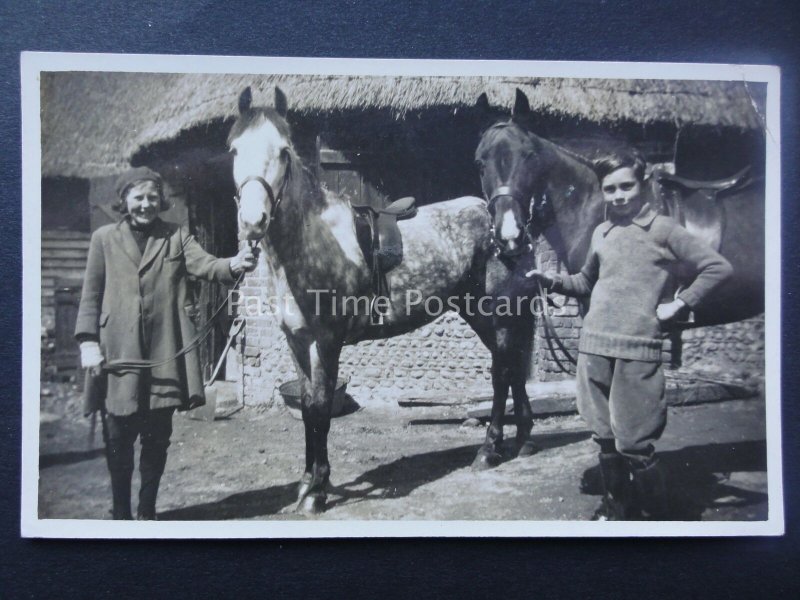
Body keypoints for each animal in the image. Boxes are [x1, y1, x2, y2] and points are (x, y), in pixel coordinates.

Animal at [231, 86, 536, 512]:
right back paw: (522, 439)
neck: (312, 242)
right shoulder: (298, 342)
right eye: (234, 150)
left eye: (284, 152)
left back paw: (489, 450)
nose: (253, 221)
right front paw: (306, 483)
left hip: (500, 314)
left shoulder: (326, 342)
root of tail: (508, 227)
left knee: (502, 372)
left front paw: (318, 490)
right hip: (479, 315)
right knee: (510, 367)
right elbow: (307, 407)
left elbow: (321, 408)